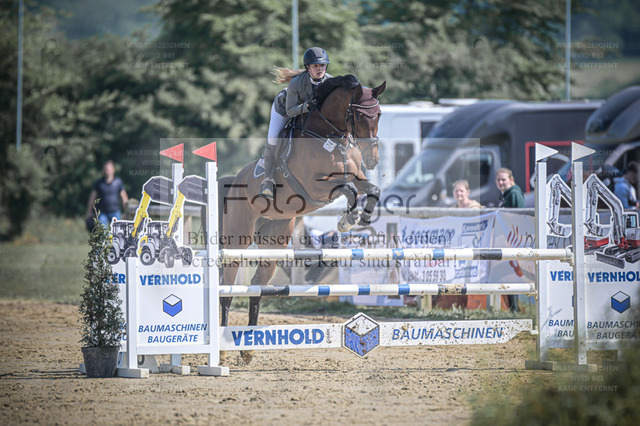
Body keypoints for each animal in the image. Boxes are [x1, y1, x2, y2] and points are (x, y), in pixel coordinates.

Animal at [219, 75, 386, 362]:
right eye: (360, 115)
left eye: (379, 115)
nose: (373, 159)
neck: (332, 138)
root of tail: (234, 181)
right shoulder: (316, 186)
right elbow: (347, 189)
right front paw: (347, 219)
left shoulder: (356, 176)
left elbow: (371, 190)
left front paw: (359, 218)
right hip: (236, 240)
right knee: (227, 290)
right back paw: (219, 351)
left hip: (273, 241)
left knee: (256, 288)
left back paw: (248, 349)